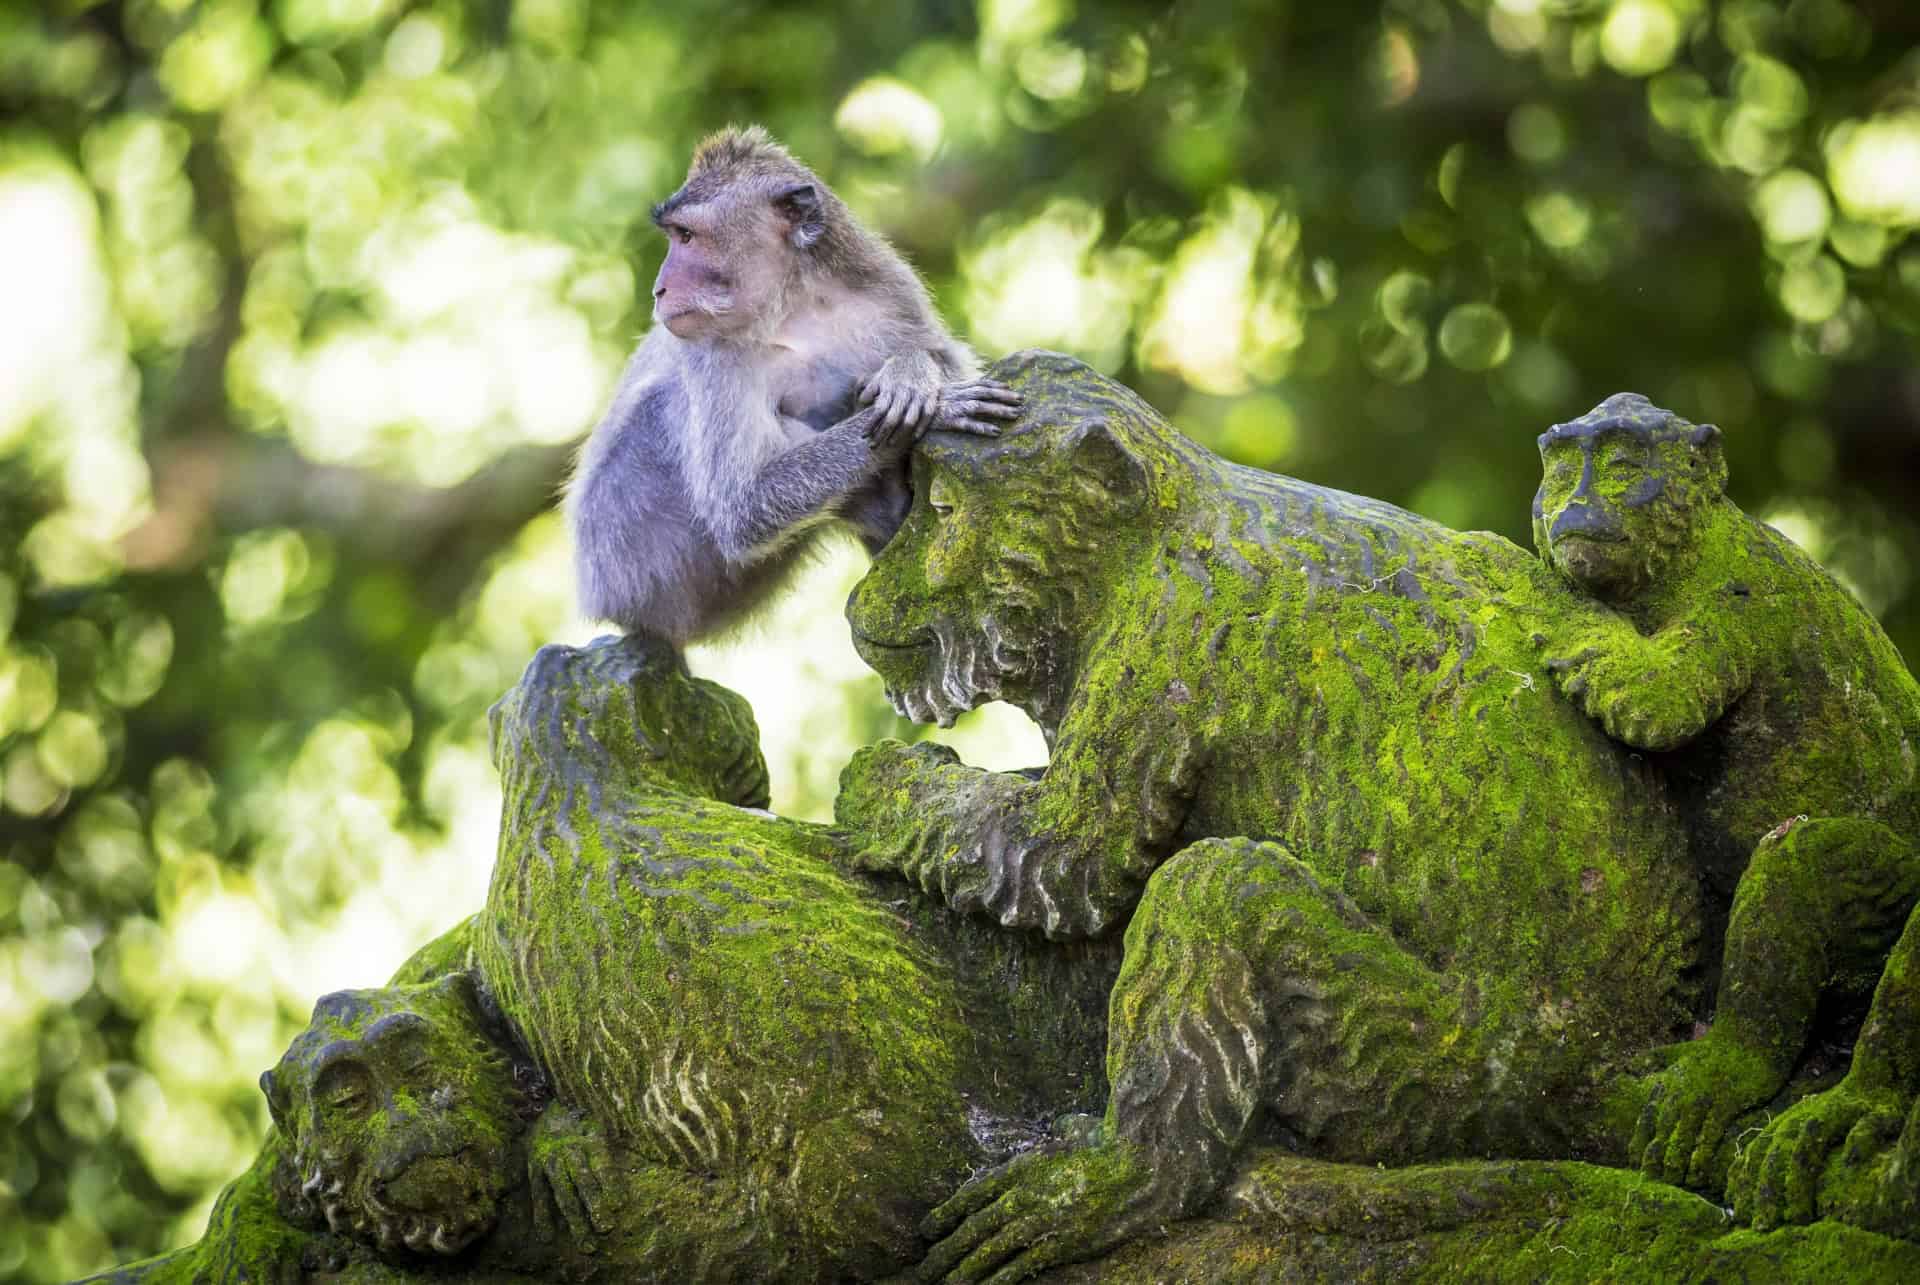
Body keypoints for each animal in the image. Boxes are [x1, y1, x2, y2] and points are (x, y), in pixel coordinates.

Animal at [565, 125, 1022, 646]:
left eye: (686, 236)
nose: (659, 289)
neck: (793, 304)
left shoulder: (887, 286)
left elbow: (947, 355)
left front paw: (910, 373)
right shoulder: (710, 351)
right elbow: (741, 506)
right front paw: (942, 405)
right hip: (636, 556)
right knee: (674, 405)